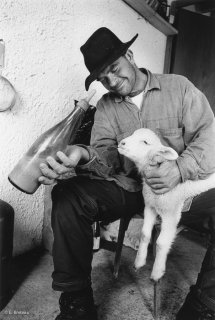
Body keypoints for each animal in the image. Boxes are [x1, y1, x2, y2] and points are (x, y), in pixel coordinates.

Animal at [116, 129, 215, 282]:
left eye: (145, 142)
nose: (122, 143)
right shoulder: (150, 206)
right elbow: (144, 234)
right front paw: (139, 262)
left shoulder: (171, 213)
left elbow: (161, 242)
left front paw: (157, 273)